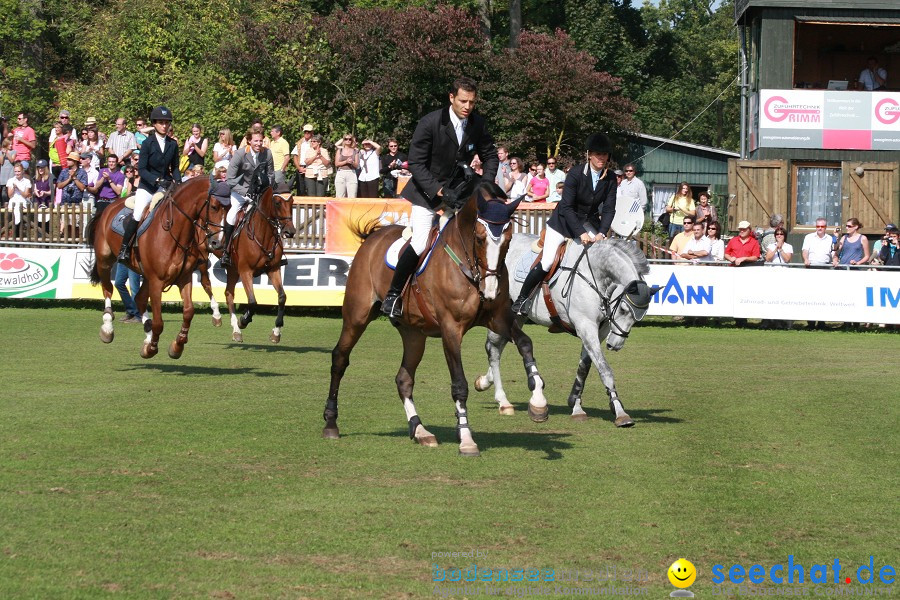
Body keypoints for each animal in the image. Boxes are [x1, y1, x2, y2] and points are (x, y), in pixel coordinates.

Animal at [87, 176, 224, 358]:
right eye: (214, 206)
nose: (217, 243)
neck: (174, 232)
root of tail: (108, 207)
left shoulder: (184, 277)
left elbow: (189, 311)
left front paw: (177, 345)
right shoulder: (157, 281)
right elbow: (159, 322)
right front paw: (151, 348)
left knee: (139, 299)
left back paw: (146, 333)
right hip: (105, 261)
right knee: (108, 289)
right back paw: (108, 328)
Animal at [195, 190, 298, 344]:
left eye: (292, 202)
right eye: (277, 203)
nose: (290, 231)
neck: (263, 233)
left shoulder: (273, 269)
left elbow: (282, 297)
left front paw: (276, 332)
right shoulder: (245, 271)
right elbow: (253, 302)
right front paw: (243, 320)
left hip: (232, 268)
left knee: (229, 293)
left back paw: (236, 331)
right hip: (202, 256)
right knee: (206, 283)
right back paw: (217, 317)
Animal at [324, 185, 548, 458]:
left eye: (507, 240)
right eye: (479, 238)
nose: (490, 291)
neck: (470, 266)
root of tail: (372, 239)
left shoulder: (498, 319)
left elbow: (525, 343)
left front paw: (538, 401)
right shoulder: (451, 329)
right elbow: (459, 384)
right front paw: (466, 439)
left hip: (413, 334)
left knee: (404, 379)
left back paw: (420, 431)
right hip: (357, 316)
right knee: (340, 358)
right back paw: (331, 423)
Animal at [474, 234, 656, 426]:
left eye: (639, 317)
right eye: (623, 309)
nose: (615, 345)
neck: (596, 277)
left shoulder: (598, 332)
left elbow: (584, 368)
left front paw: (576, 406)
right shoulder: (586, 326)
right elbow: (605, 369)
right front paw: (620, 412)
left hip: (518, 316)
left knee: (498, 344)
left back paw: (486, 382)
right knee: (494, 348)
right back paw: (501, 399)